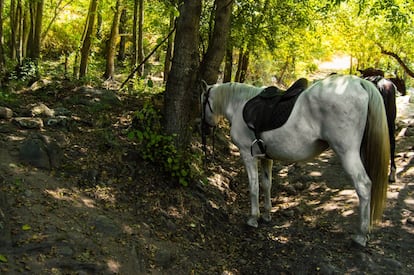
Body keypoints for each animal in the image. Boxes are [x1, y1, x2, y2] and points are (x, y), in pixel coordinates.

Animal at [202, 75, 390, 248]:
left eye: (202, 100)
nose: (204, 128)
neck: (239, 105)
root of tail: (359, 82)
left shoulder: (248, 155)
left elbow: (254, 187)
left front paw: (253, 219)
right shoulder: (265, 158)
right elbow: (266, 184)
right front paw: (267, 215)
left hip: (347, 153)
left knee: (363, 186)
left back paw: (360, 236)